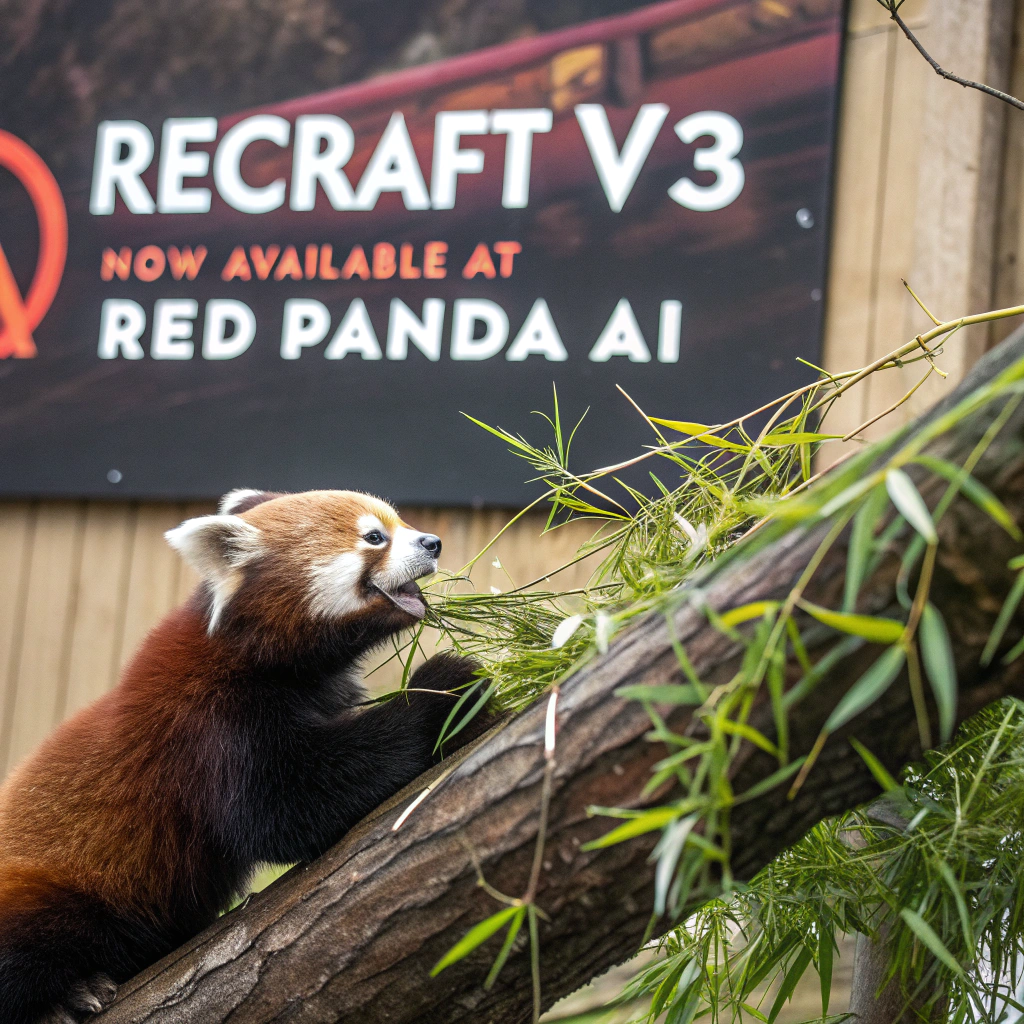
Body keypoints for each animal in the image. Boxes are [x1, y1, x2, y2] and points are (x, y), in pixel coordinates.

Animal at [0, 489, 480, 1023]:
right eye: (375, 537)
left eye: (402, 523)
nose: (433, 542)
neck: (248, 651)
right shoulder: (208, 728)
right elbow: (281, 809)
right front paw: (447, 693)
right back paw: (64, 996)